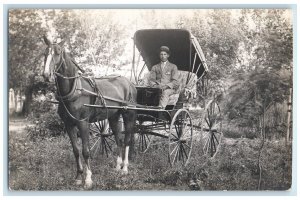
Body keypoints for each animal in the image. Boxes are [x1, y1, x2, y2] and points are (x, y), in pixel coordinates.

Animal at [41, 36, 137, 189]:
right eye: (45, 53)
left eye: (58, 52)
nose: (46, 75)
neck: (74, 91)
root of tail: (129, 82)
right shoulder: (68, 124)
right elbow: (75, 150)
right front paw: (78, 177)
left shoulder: (83, 123)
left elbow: (86, 151)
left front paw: (88, 179)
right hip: (114, 116)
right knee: (119, 139)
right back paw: (117, 167)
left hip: (129, 115)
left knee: (127, 140)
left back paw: (125, 169)